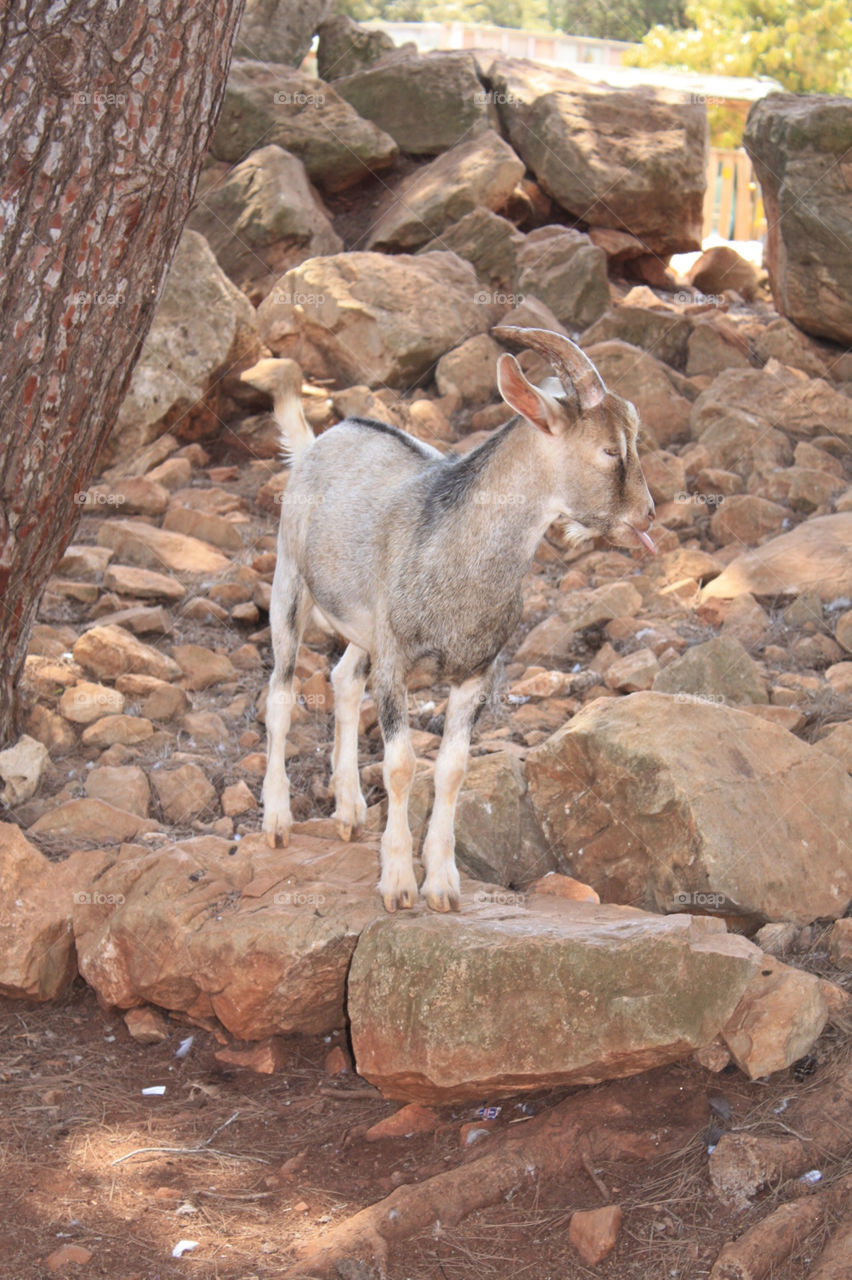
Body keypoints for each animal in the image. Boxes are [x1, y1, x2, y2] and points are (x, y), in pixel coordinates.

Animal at [241, 327, 652, 911]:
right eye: (609, 449)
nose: (648, 516)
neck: (456, 554)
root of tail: (319, 442)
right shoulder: (396, 661)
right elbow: (401, 765)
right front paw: (397, 884)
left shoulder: (476, 670)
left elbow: (452, 771)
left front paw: (442, 885)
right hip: (289, 585)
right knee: (279, 694)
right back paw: (277, 820)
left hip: (364, 629)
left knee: (343, 680)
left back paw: (349, 811)